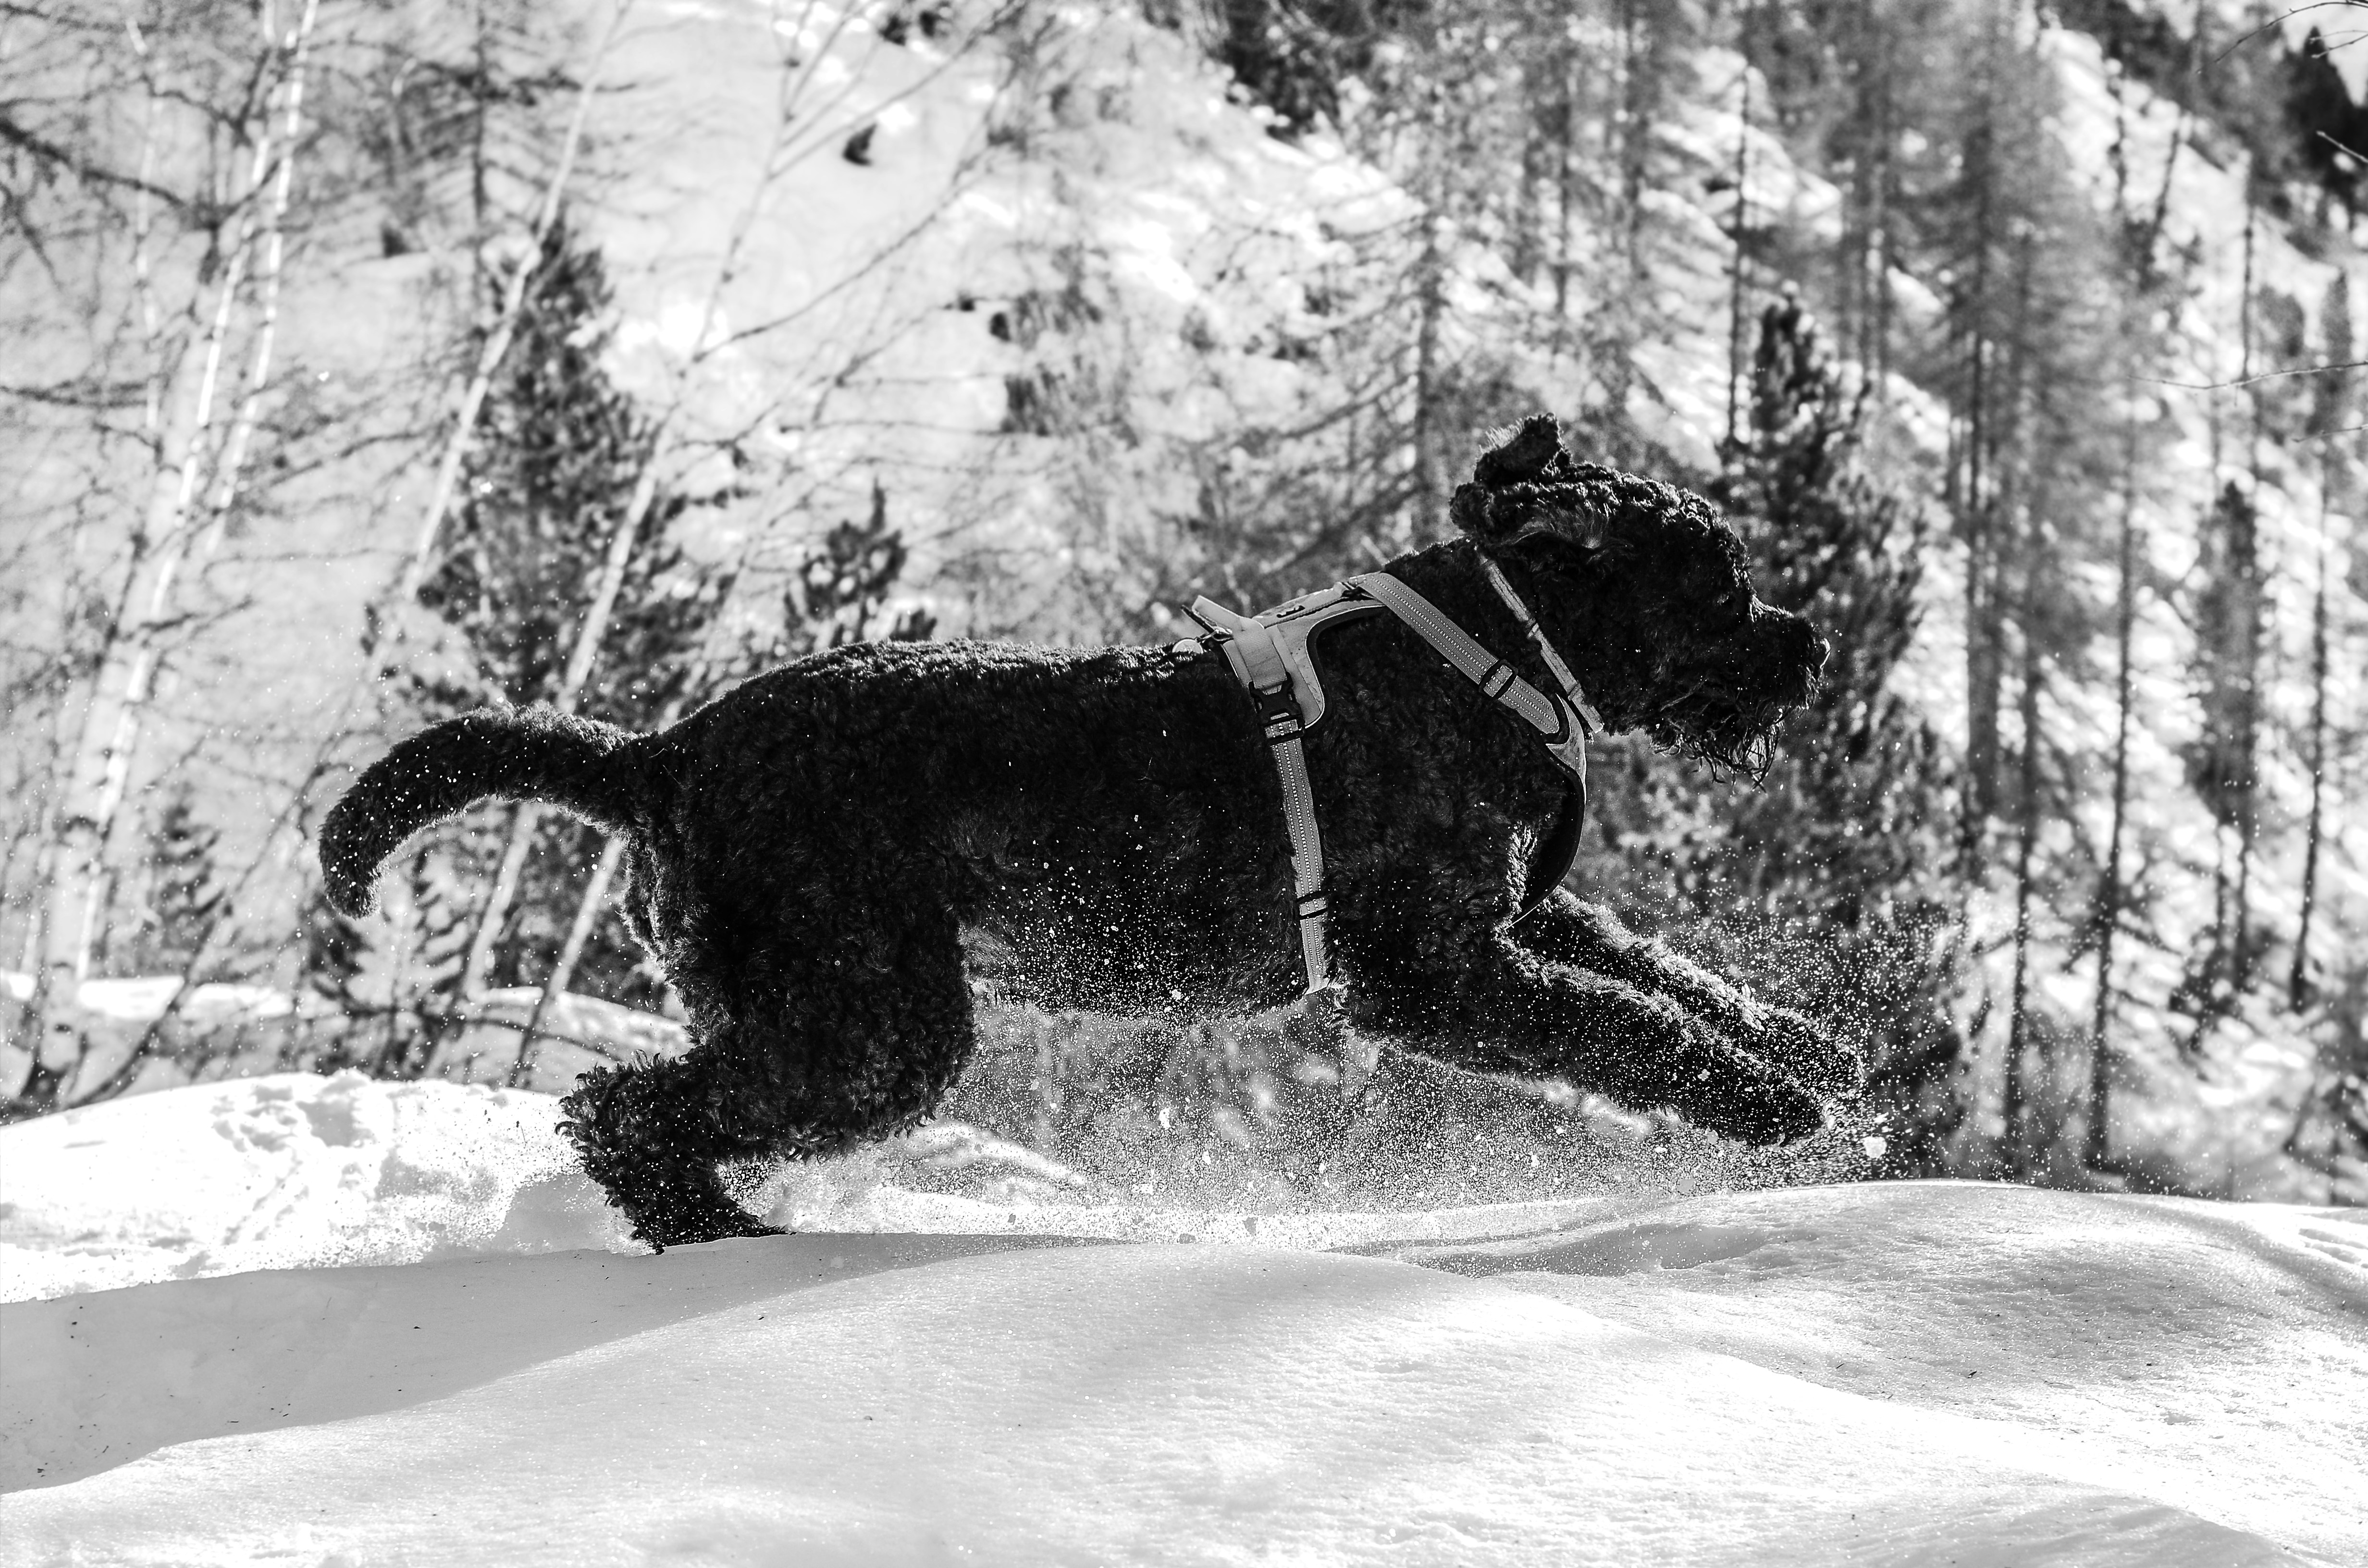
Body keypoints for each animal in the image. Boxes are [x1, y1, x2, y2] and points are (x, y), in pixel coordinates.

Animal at [324, 416, 1856, 1250]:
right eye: (1718, 584)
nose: (1816, 647)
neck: (1496, 643)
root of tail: (666, 756)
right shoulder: (1433, 971)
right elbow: (1625, 1027)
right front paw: (1774, 1107)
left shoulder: (1523, 918)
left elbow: (1667, 973)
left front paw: (1814, 1044)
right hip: (875, 1021)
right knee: (621, 1110)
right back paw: (733, 1242)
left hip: (809, 1006)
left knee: (655, 1113)